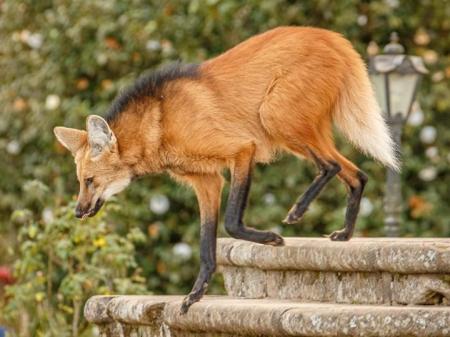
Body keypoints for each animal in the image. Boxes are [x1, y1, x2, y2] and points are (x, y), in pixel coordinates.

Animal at [53, 26, 398, 312]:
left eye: (89, 180)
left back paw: (297, 211)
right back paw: (344, 234)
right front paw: (195, 294)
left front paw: (271, 238)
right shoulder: (206, 182)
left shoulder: (242, 150)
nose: (78, 212)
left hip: (275, 118)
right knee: (356, 174)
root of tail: (332, 37)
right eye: (81, 182)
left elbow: (231, 222)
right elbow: (206, 244)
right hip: (298, 129)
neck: (159, 124)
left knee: (330, 165)